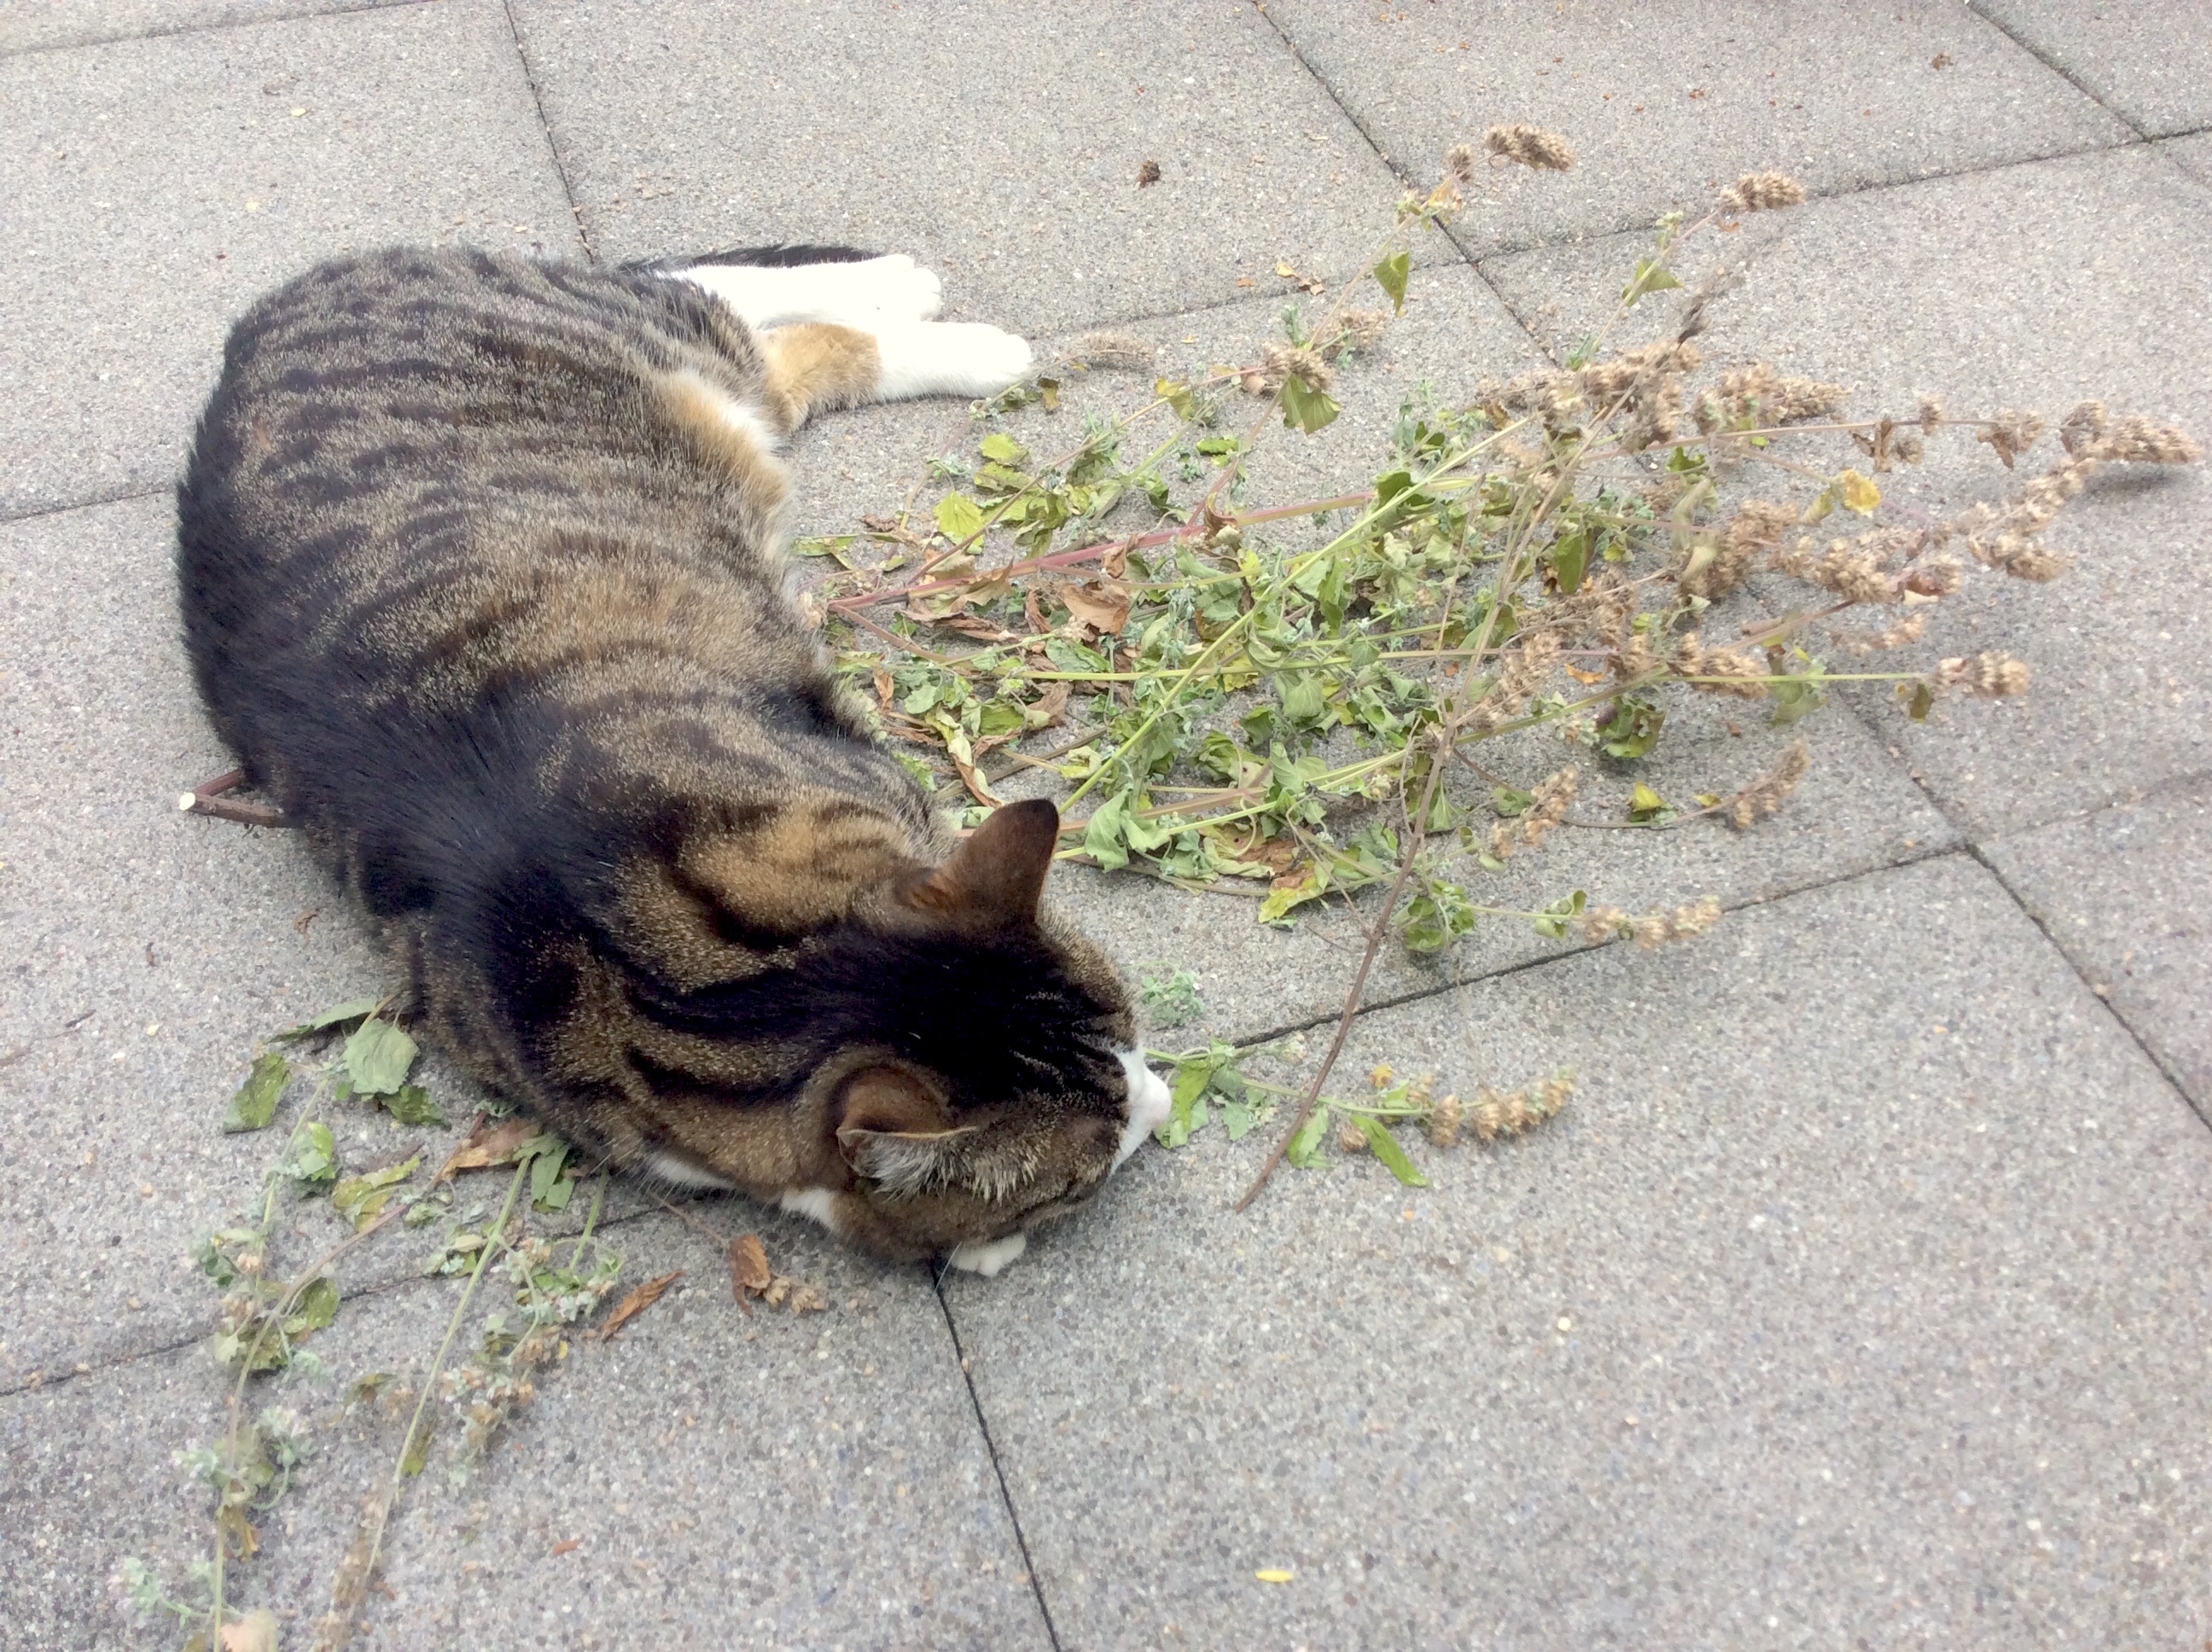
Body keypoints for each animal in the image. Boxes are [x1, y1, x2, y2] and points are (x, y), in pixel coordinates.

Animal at [176, 245, 1171, 1277]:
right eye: (1085, 1169)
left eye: (1130, 1027)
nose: (1164, 1104)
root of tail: (266, 321)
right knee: (774, 348)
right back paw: (943, 322)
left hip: (646, 340)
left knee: (707, 290)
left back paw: (920, 296)